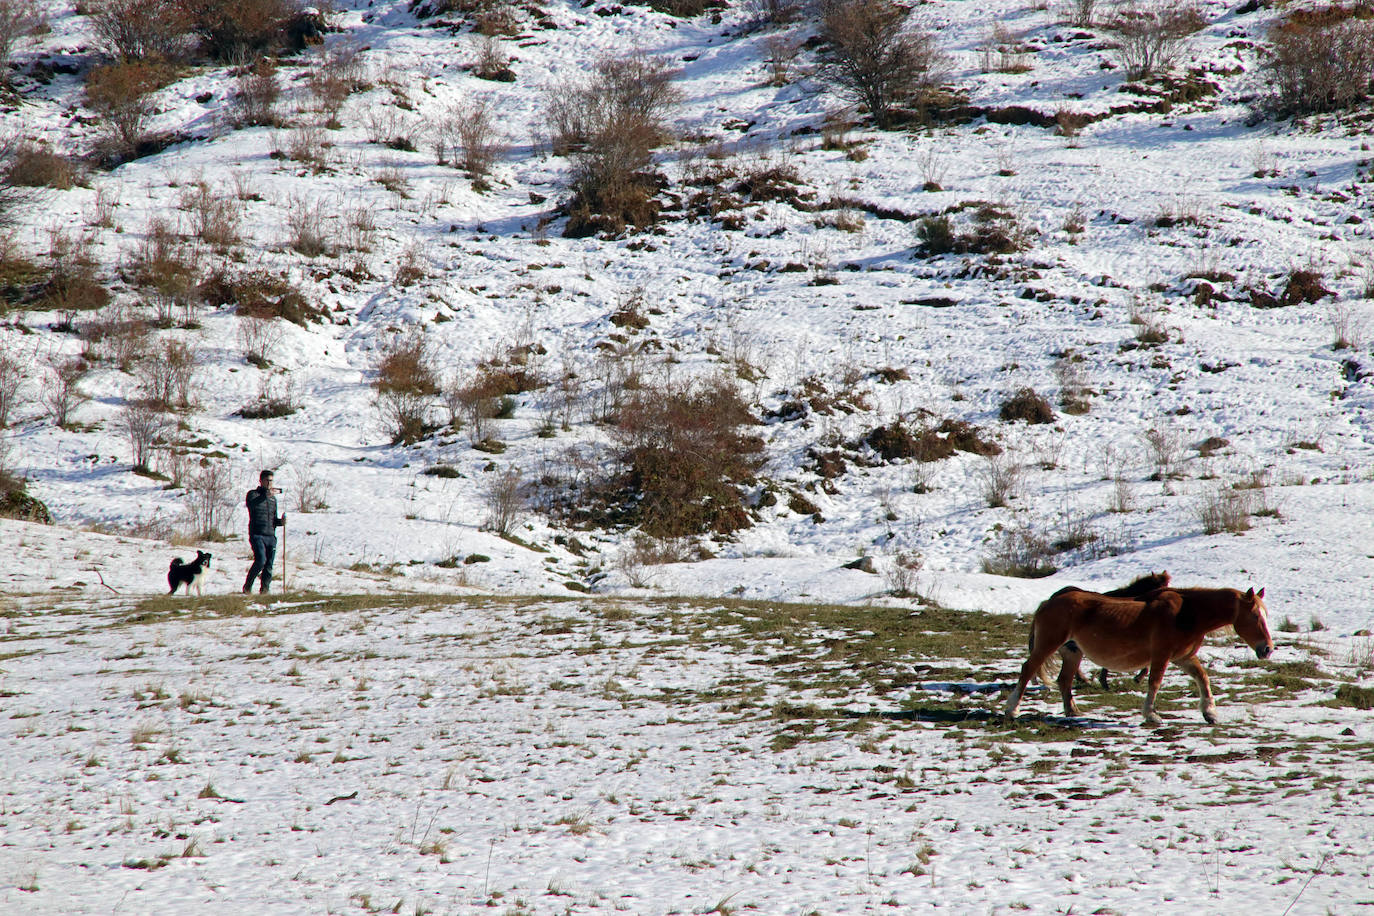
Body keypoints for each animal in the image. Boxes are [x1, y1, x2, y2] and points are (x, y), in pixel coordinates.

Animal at [1005, 585, 1269, 725]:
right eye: (1255, 616)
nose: (1267, 648)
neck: (1185, 614)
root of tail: (1049, 601)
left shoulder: (1182, 658)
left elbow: (1202, 678)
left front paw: (1210, 712)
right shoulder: (1161, 656)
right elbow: (1155, 682)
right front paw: (1151, 715)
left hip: (1072, 652)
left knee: (1064, 680)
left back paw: (1073, 712)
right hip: (1047, 645)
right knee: (1028, 670)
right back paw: (1012, 710)